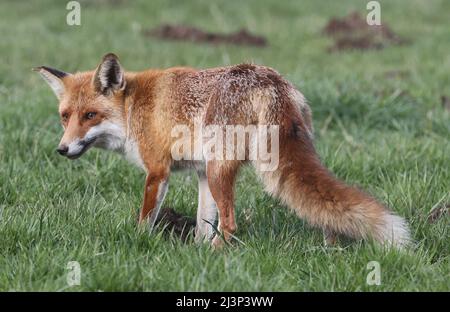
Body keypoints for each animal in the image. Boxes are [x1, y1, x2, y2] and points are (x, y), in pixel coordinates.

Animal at [33, 53, 410, 249]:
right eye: (65, 116)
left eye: (90, 116)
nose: (62, 149)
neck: (132, 108)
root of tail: (269, 80)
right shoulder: (199, 173)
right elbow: (202, 222)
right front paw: (194, 254)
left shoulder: (158, 171)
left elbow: (145, 219)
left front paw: (139, 246)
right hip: (241, 167)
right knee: (324, 206)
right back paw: (331, 249)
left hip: (220, 170)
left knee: (230, 224)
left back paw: (218, 255)